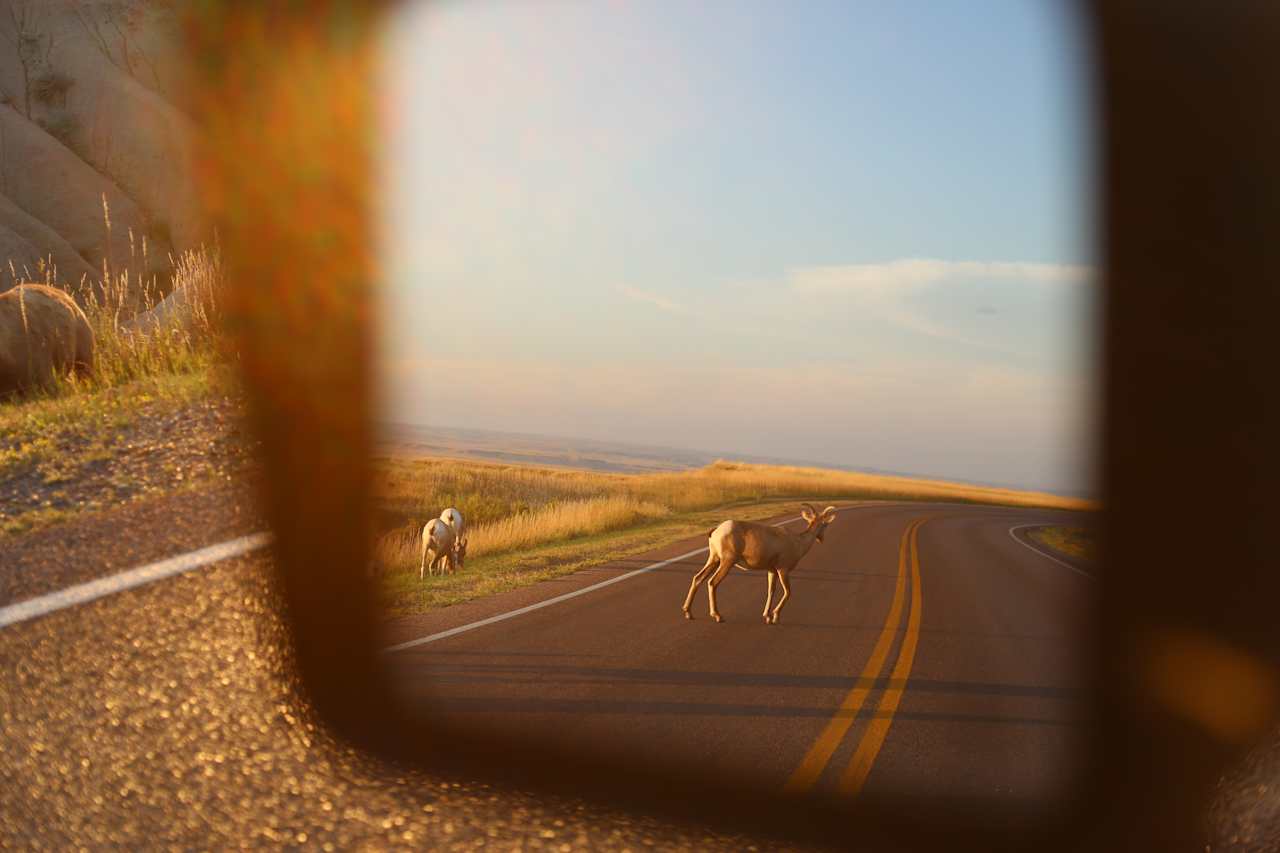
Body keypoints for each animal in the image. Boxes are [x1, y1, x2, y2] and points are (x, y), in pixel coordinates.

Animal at [680, 502, 839, 622]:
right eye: (825, 524)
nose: (821, 539)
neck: (796, 542)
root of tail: (717, 530)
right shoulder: (783, 570)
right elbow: (787, 592)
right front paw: (775, 617)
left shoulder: (772, 571)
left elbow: (771, 591)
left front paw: (767, 616)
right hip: (726, 562)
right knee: (712, 582)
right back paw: (718, 616)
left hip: (714, 560)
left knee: (698, 578)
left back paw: (688, 613)